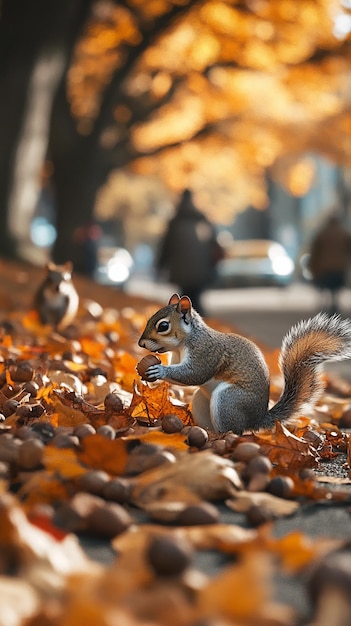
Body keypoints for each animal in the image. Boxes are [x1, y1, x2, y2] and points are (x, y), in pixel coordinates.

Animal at [138, 290, 351, 432]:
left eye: (163, 326)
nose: (140, 343)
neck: (184, 343)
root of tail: (255, 421)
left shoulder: (206, 352)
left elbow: (194, 374)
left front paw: (160, 371)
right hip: (201, 402)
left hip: (228, 401)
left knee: (233, 431)